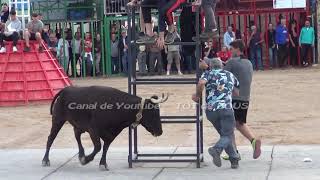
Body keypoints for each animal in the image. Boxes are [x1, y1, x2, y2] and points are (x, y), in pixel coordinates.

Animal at [41, 86, 169, 170]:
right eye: (153, 112)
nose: (160, 131)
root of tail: (65, 90)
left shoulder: (111, 134)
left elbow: (105, 147)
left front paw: (102, 163)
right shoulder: (93, 130)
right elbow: (98, 146)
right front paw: (86, 160)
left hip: (78, 125)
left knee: (77, 135)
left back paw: (81, 154)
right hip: (58, 120)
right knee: (50, 138)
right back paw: (45, 160)